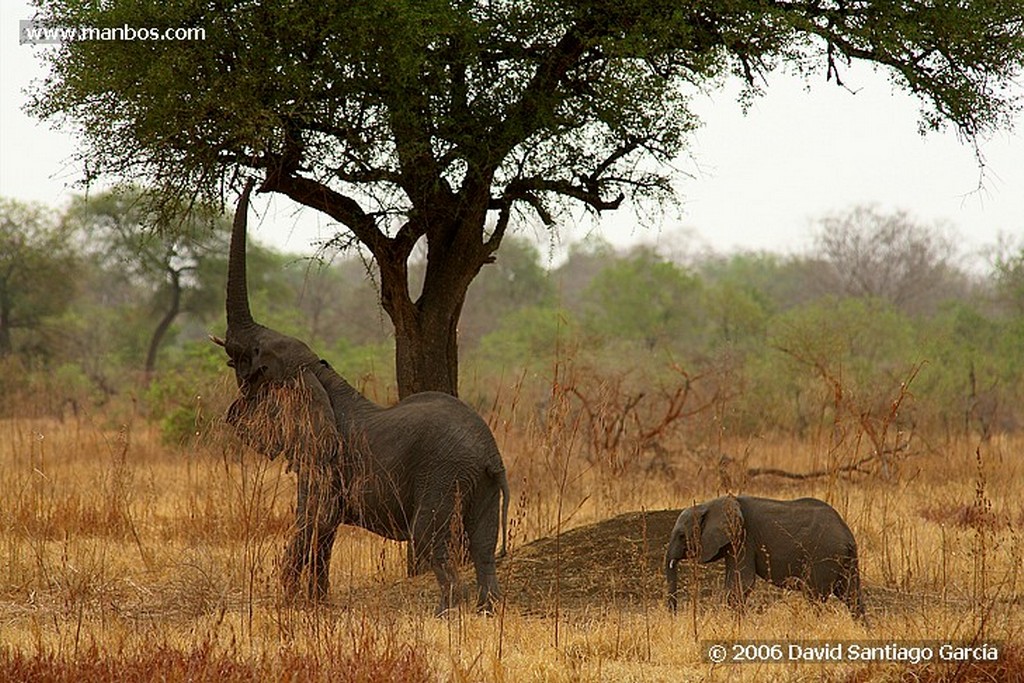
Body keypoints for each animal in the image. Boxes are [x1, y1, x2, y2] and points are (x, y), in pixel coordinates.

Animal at [215, 180, 507, 614]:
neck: (321, 377)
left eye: (256, 356)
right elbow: (324, 529)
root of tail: (492, 457)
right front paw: (316, 604)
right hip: (479, 484)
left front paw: (286, 604)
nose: (256, 181)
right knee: (484, 547)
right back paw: (487, 611)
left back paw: (445, 613)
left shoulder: (322, 458)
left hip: (444, 474)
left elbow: (313, 519)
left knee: (432, 541)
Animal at [667, 493, 860, 618]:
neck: (710, 504)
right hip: (846, 560)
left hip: (823, 557)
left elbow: (741, 584)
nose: (674, 615)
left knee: (815, 596)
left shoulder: (744, 537)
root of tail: (847, 535)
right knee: (851, 596)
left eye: (682, 536)